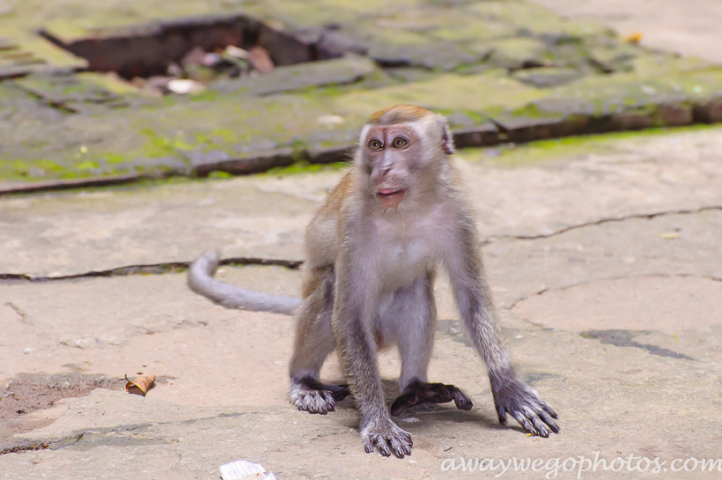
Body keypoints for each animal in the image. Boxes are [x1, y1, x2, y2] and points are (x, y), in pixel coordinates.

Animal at [187, 104, 556, 458]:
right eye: (376, 145)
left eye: (400, 143)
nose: (383, 169)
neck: (406, 208)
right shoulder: (354, 222)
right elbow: (348, 313)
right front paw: (377, 422)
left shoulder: (459, 211)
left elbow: (471, 294)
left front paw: (508, 388)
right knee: (330, 288)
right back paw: (304, 380)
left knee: (416, 290)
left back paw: (415, 390)